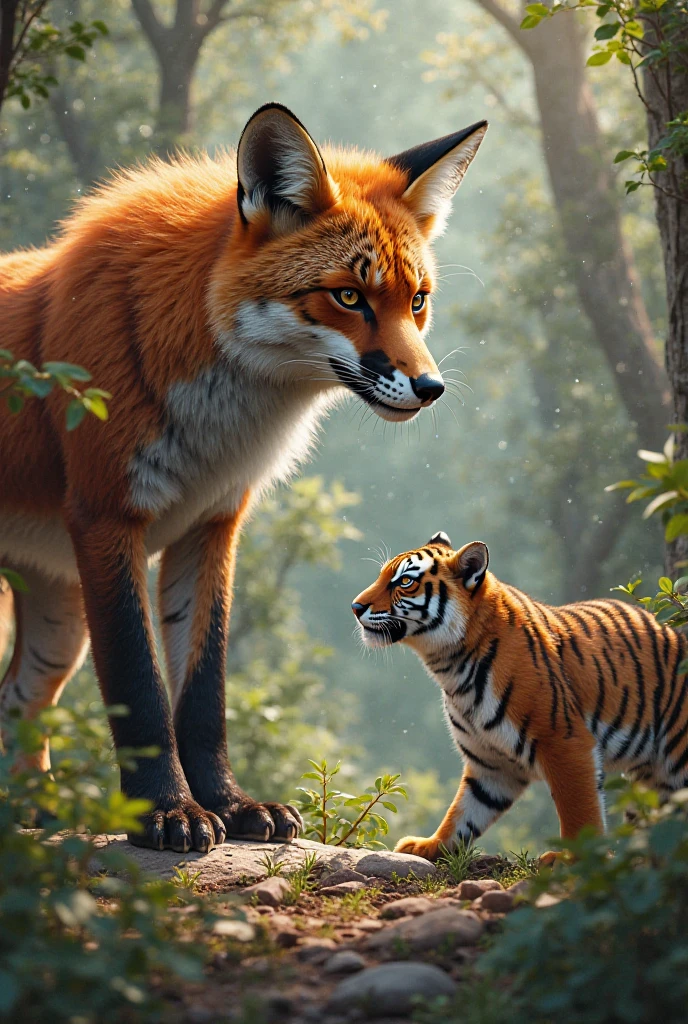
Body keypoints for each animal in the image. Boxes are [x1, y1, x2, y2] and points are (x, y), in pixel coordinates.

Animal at [0, 103, 487, 853]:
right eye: (348, 295)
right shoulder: (109, 519)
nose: (431, 388)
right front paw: (166, 813)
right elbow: (141, 689)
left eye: (418, 301)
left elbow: (203, 694)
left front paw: (232, 807)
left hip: (60, 629)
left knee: (17, 701)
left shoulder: (211, 526)